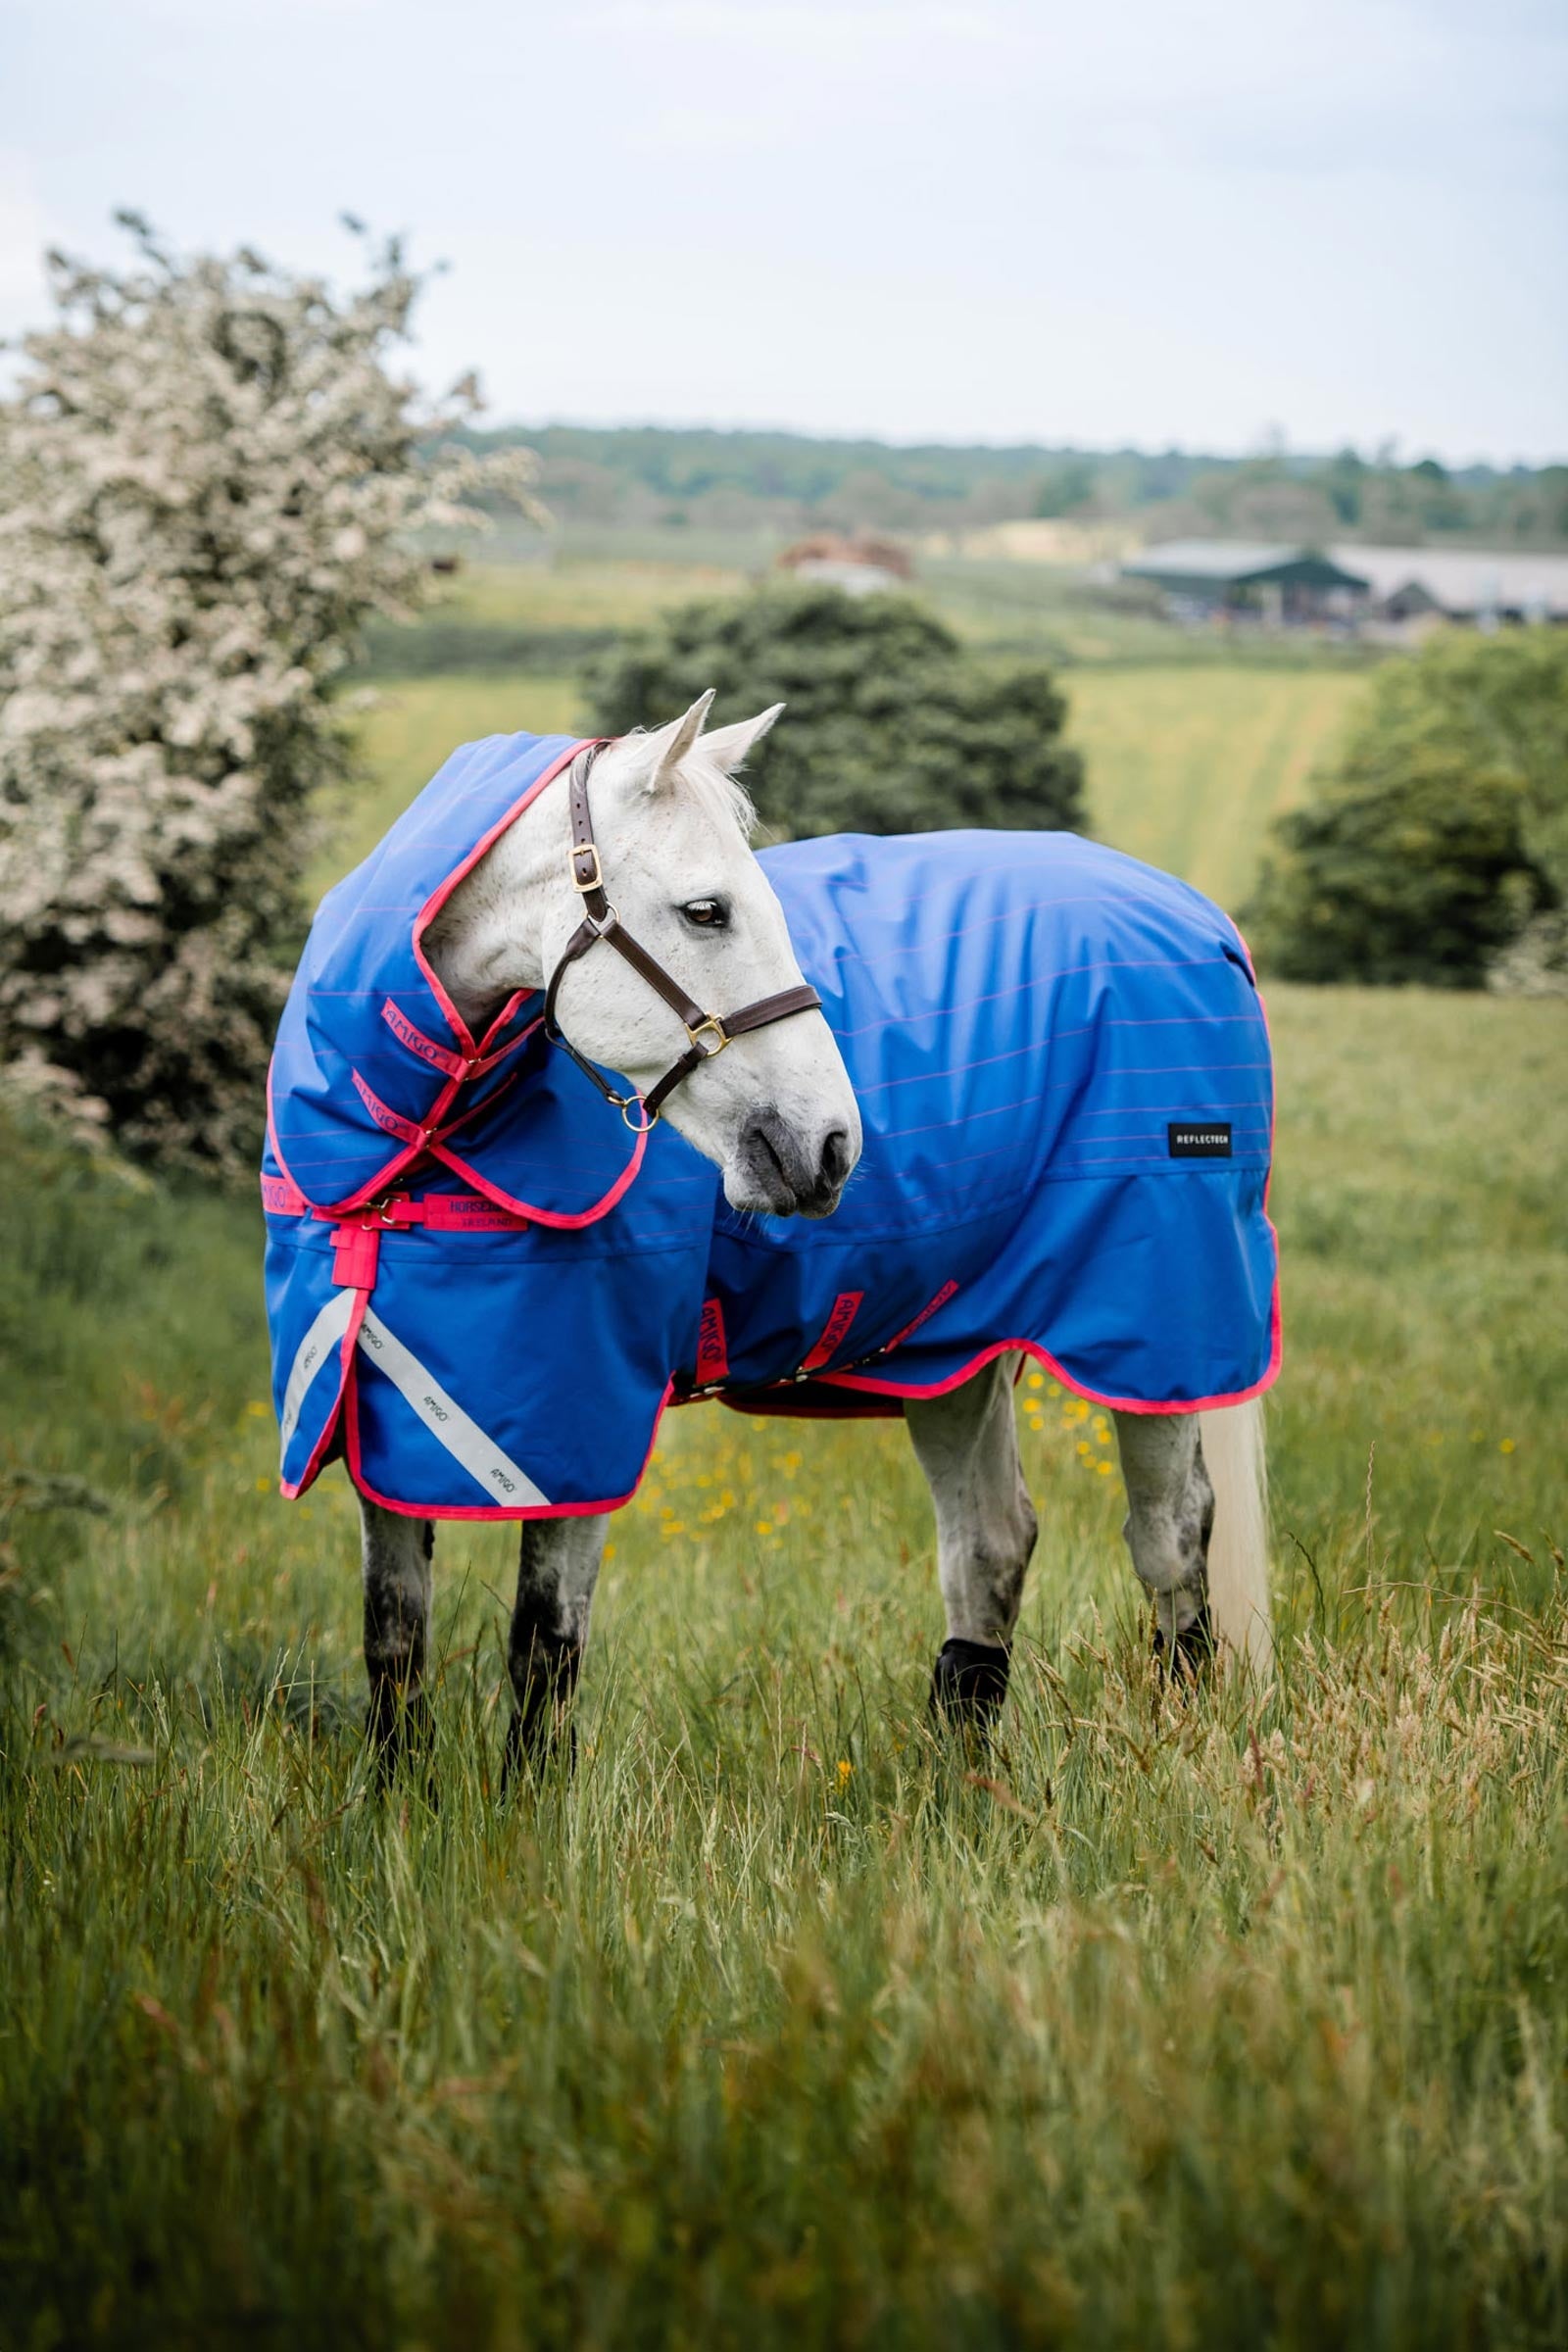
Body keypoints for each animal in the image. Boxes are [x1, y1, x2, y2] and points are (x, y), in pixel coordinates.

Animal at [262, 692, 1275, 1777]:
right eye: (707, 910)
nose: (831, 1144)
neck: (413, 1149)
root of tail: (1197, 917)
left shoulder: (578, 1430)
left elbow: (541, 1653)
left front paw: (522, 1816)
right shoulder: (386, 1423)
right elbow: (393, 1642)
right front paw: (397, 1805)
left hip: (1157, 1332)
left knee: (1170, 1536)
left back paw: (1180, 1739)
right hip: (957, 1348)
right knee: (991, 1548)